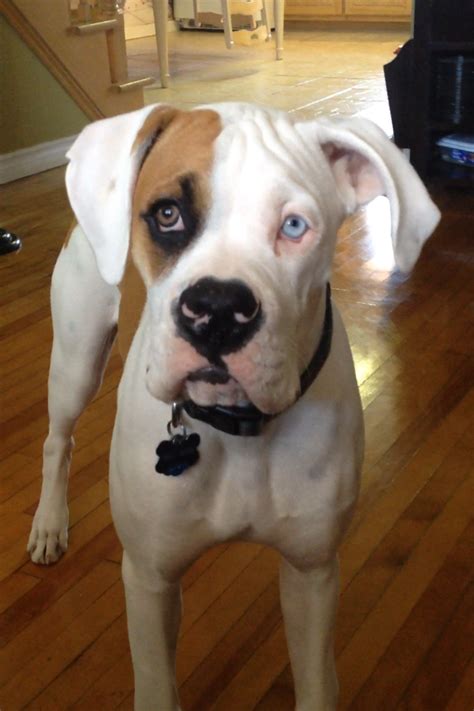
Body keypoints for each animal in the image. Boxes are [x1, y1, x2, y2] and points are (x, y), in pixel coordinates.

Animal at [27, 104, 438, 711]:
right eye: (167, 214)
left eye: (294, 226)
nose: (217, 310)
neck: (237, 427)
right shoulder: (150, 579)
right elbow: (156, 688)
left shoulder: (312, 572)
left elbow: (316, 685)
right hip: (76, 362)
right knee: (58, 440)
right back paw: (50, 525)